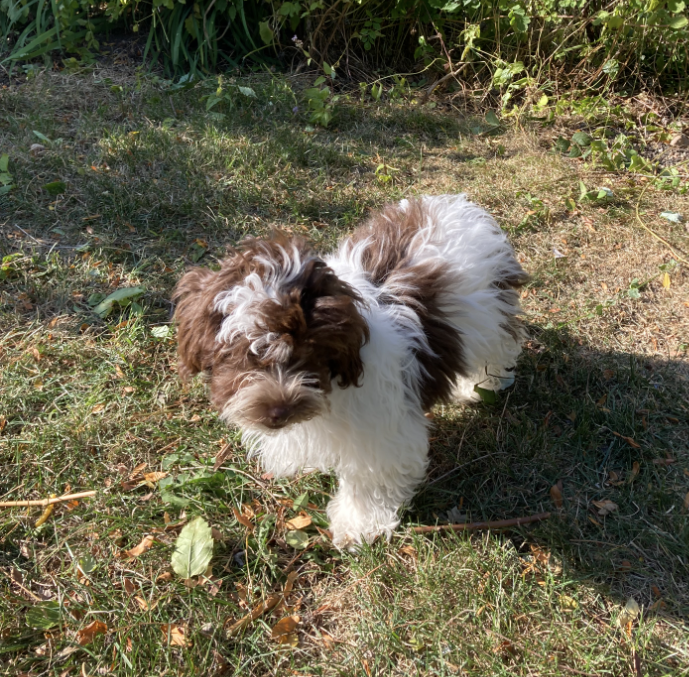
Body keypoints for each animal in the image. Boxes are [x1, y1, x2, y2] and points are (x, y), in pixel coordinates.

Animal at [173, 193, 528, 548]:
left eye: (308, 354)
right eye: (241, 355)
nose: (279, 411)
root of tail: (456, 205)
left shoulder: (379, 430)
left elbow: (371, 477)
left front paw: (358, 524)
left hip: (492, 312)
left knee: (499, 346)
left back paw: (485, 384)